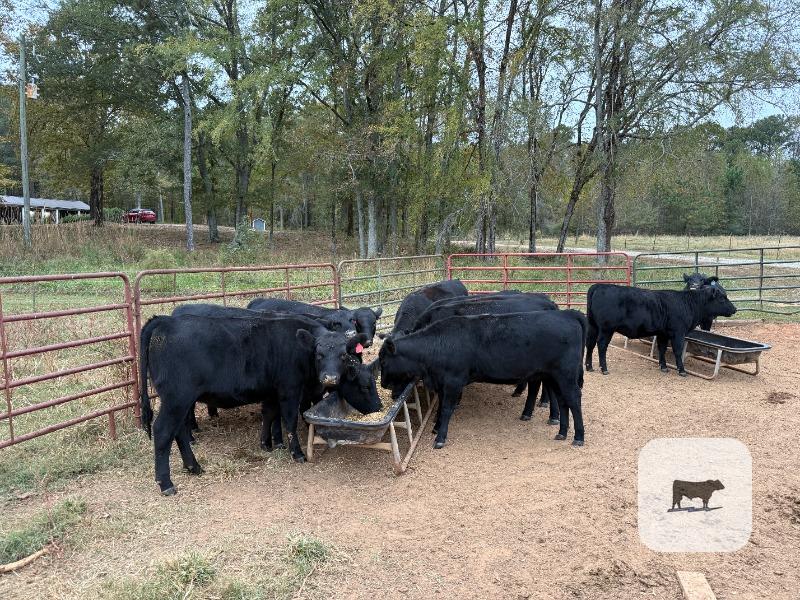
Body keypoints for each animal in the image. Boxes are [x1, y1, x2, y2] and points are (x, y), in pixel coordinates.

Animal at [139, 313, 374, 495]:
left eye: (342, 355)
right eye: (319, 354)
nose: (330, 378)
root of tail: (164, 320)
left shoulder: (271, 391)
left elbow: (269, 414)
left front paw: (266, 444)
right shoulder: (289, 389)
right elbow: (289, 419)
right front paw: (296, 453)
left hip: (180, 401)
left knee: (178, 430)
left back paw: (193, 466)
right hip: (176, 398)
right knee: (163, 431)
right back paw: (166, 483)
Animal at [379, 310, 587, 448]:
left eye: (383, 360)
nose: (383, 384)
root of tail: (567, 314)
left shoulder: (453, 382)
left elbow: (446, 409)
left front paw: (440, 438)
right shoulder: (442, 383)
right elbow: (440, 408)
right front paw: (436, 428)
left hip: (566, 375)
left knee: (574, 399)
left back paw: (578, 437)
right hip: (553, 376)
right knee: (562, 401)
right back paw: (562, 432)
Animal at [585, 284, 737, 376]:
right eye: (722, 298)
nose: (735, 309)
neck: (688, 303)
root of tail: (599, 285)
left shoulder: (663, 333)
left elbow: (662, 349)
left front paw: (663, 367)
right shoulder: (678, 332)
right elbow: (677, 351)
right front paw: (682, 370)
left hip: (593, 326)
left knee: (590, 344)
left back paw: (589, 366)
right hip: (606, 329)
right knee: (601, 346)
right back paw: (604, 369)